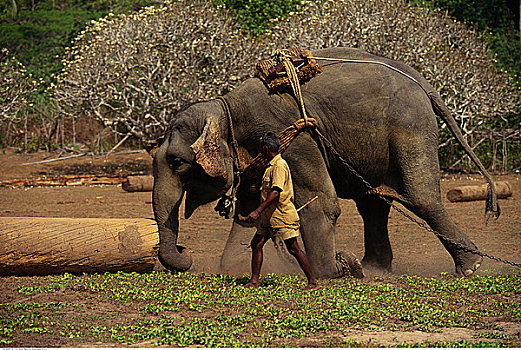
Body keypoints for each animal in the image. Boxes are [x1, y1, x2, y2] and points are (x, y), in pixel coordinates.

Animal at [151, 47, 496, 278]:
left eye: (178, 163)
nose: (184, 252)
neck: (224, 107)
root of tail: (418, 78)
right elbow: (249, 212)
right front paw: (235, 267)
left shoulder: (293, 136)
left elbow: (320, 200)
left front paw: (337, 269)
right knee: (373, 202)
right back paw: (374, 269)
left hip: (409, 128)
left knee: (421, 199)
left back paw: (470, 268)